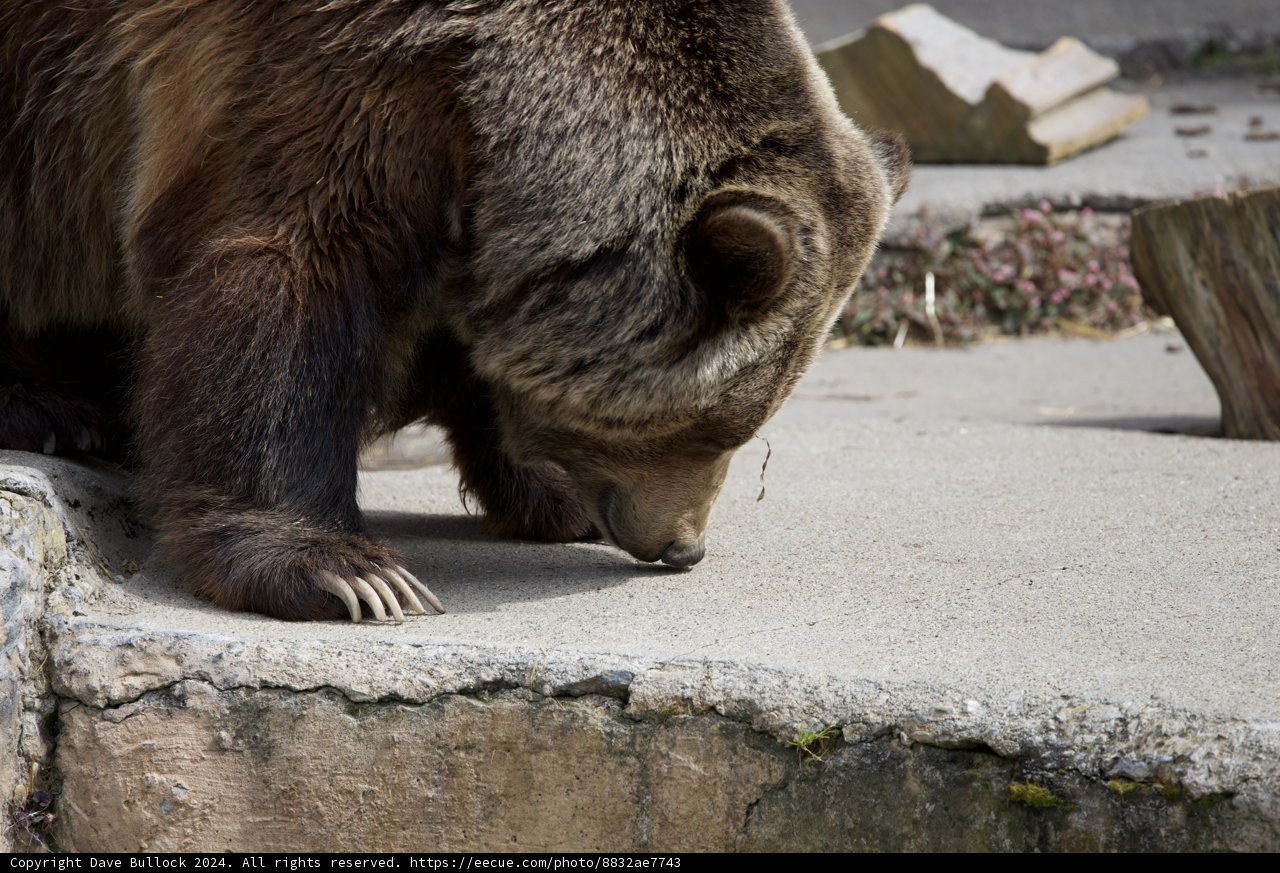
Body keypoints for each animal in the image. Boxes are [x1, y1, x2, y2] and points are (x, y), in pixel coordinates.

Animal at [0, 0, 908, 622]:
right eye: (718, 428)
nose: (685, 546)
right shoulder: (324, 77)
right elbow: (284, 283)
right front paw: (354, 573)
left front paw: (547, 495)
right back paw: (51, 409)